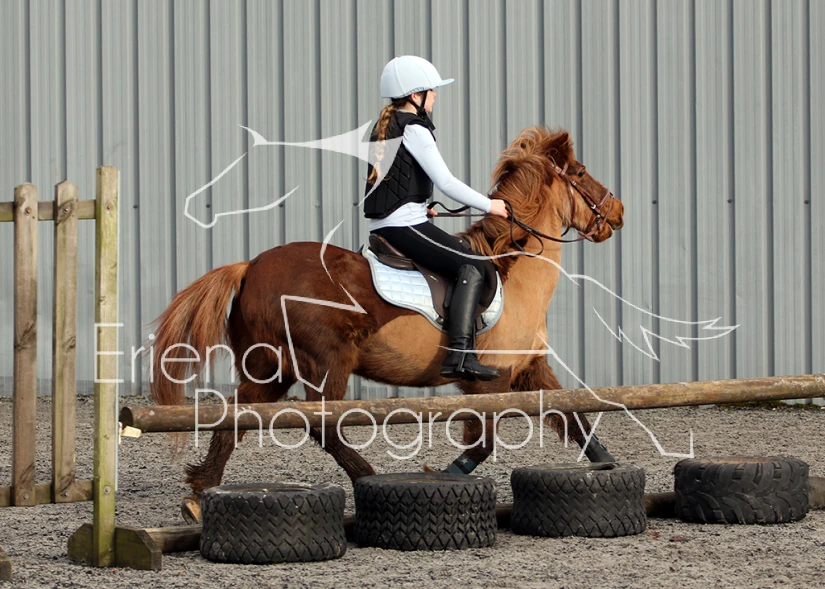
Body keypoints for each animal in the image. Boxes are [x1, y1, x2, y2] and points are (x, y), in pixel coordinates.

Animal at [148, 126, 625, 522]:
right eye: (581, 172)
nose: (618, 212)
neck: (515, 271)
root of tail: (250, 267)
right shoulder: (491, 382)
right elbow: (484, 441)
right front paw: (447, 475)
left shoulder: (529, 369)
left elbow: (574, 416)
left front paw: (604, 460)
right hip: (324, 363)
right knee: (322, 426)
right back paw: (367, 477)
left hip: (270, 368)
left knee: (237, 415)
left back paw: (200, 494)